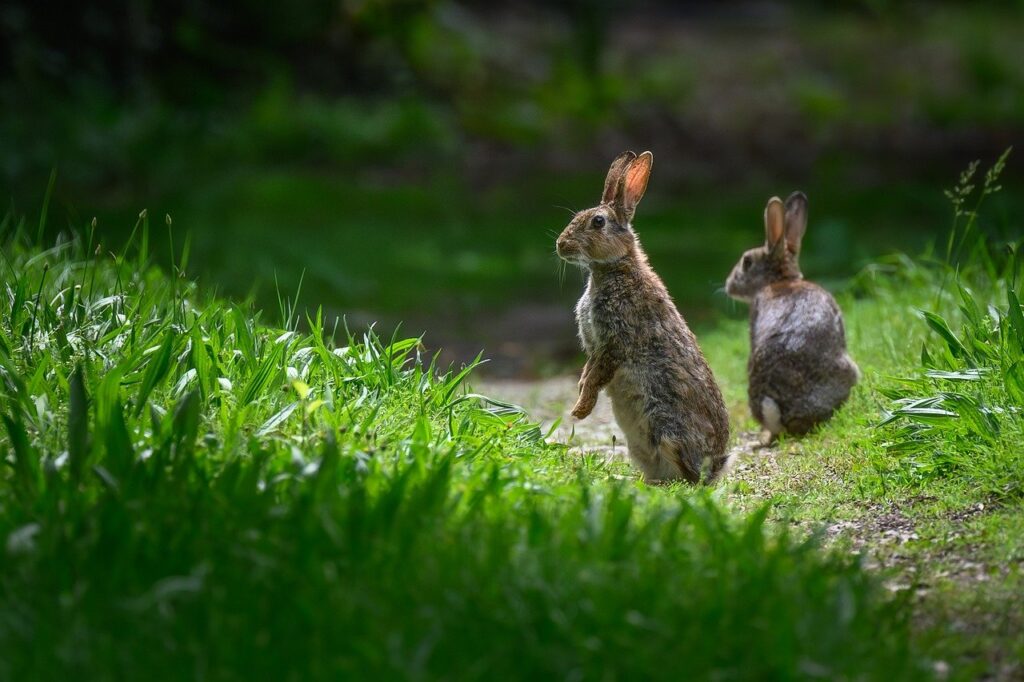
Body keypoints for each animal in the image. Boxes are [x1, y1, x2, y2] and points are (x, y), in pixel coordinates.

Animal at [556, 150, 731, 484]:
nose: (561, 245)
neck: (614, 268)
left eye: (598, 222)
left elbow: (597, 376)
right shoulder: (595, 347)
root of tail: (716, 466)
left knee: (685, 478)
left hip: (666, 428)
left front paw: (579, 411)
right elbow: (587, 372)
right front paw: (579, 399)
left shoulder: (615, 342)